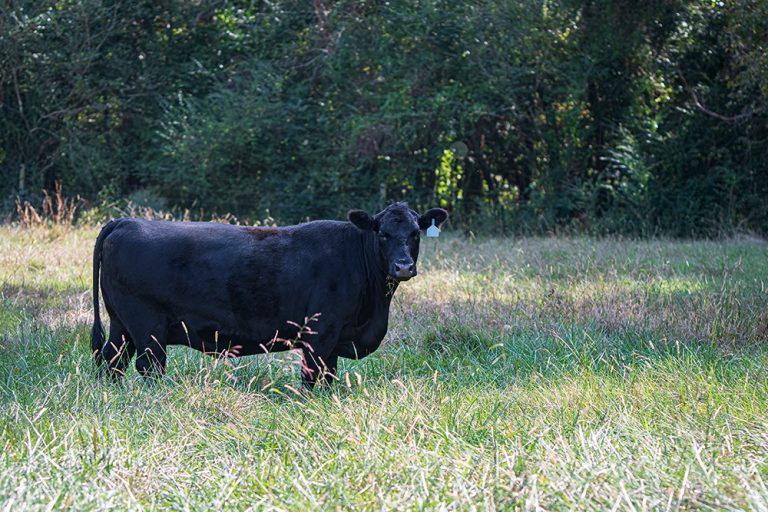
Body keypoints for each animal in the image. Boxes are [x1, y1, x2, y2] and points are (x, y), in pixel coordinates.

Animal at [90, 203, 448, 388]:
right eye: (383, 233)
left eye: (415, 233)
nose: (403, 267)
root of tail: (125, 221)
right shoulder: (319, 333)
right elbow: (313, 377)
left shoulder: (334, 339)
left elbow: (329, 377)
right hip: (147, 325)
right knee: (148, 365)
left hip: (122, 324)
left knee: (112, 359)